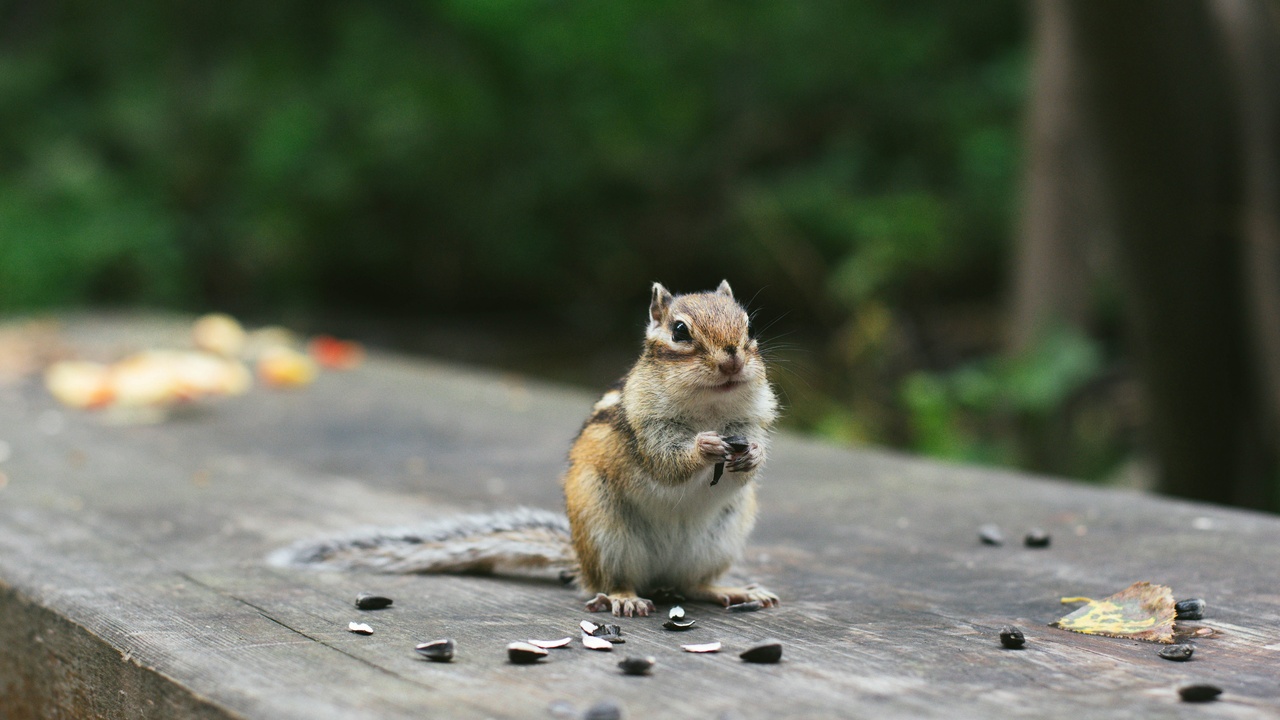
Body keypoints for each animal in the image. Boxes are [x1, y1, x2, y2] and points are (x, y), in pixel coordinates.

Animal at [273, 281, 780, 617]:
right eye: (679, 331)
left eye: (749, 326)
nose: (733, 358)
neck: (709, 409)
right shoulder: (644, 429)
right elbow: (666, 462)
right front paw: (705, 446)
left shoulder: (751, 420)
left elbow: (754, 457)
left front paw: (752, 454)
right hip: (608, 535)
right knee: (617, 582)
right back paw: (624, 598)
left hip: (718, 540)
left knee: (693, 585)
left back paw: (732, 591)